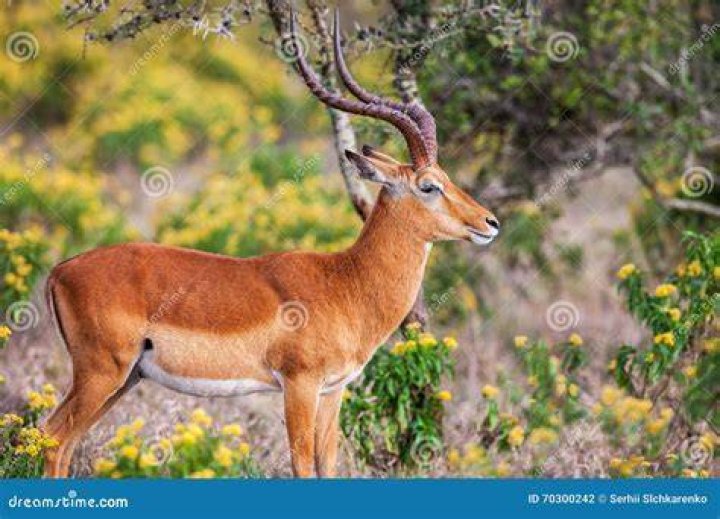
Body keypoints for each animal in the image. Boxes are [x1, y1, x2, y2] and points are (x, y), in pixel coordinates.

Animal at [41, 10, 499, 478]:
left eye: (446, 176)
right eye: (429, 185)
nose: (490, 222)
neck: (346, 282)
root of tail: (61, 270)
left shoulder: (333, 391)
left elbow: (327, 464)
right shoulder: (299, 384)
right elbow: (301, 464)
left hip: (125, 378)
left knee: (63, 441)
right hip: (102, 373)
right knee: (53, 436)